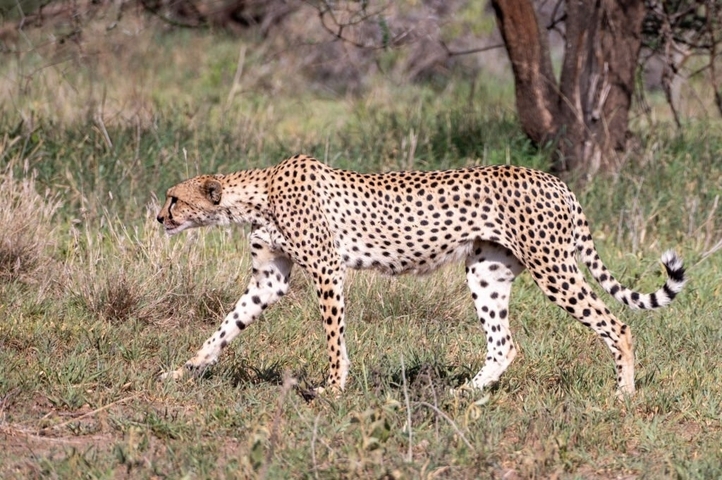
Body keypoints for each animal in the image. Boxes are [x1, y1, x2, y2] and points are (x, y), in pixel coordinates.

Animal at [156, 154, 686, 397]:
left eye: (174, 199)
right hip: (486, 272)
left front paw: (333, 387)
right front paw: (183, 370)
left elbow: (333, 337)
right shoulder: (270, 280)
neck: (257, 193)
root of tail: (556, 179)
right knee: (504, 344)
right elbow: (224, 328)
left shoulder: (327, 270)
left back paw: (623, 394)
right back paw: (465, 393)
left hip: (552, 266)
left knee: (617, 324)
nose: (159, 218)